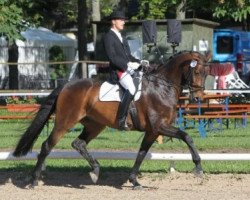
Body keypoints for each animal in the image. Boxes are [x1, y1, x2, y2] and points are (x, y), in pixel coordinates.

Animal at [12, 50, 210, 189]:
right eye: (197, 71)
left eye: (206, 73)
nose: (197, 98)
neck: (162, 87)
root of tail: (67, 85)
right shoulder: (159, 127)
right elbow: (187, 137)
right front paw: (198, 168)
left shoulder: (152, 131)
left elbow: (141, 154)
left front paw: (134, 181)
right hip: (65, 122)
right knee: (47, 145)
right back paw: (34, 180)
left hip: (95, 125)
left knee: (78, 143)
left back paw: (95, 171)